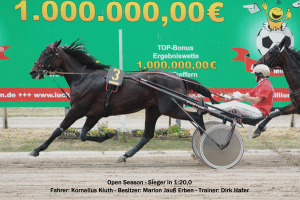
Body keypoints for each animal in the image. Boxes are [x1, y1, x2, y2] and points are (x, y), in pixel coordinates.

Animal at [29, 39, 217, 162]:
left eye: (46, 53)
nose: (33, 72)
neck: (83, 77)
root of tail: (179, 78)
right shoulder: (94, 114)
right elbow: (82, 135)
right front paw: (107, 135)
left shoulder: (77, 109)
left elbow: (58, 130)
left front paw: (37, 149)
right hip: (153, 109)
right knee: (147, 135)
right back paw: (125, 155)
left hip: (170, 107)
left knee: (197, 117)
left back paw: (209, 148)